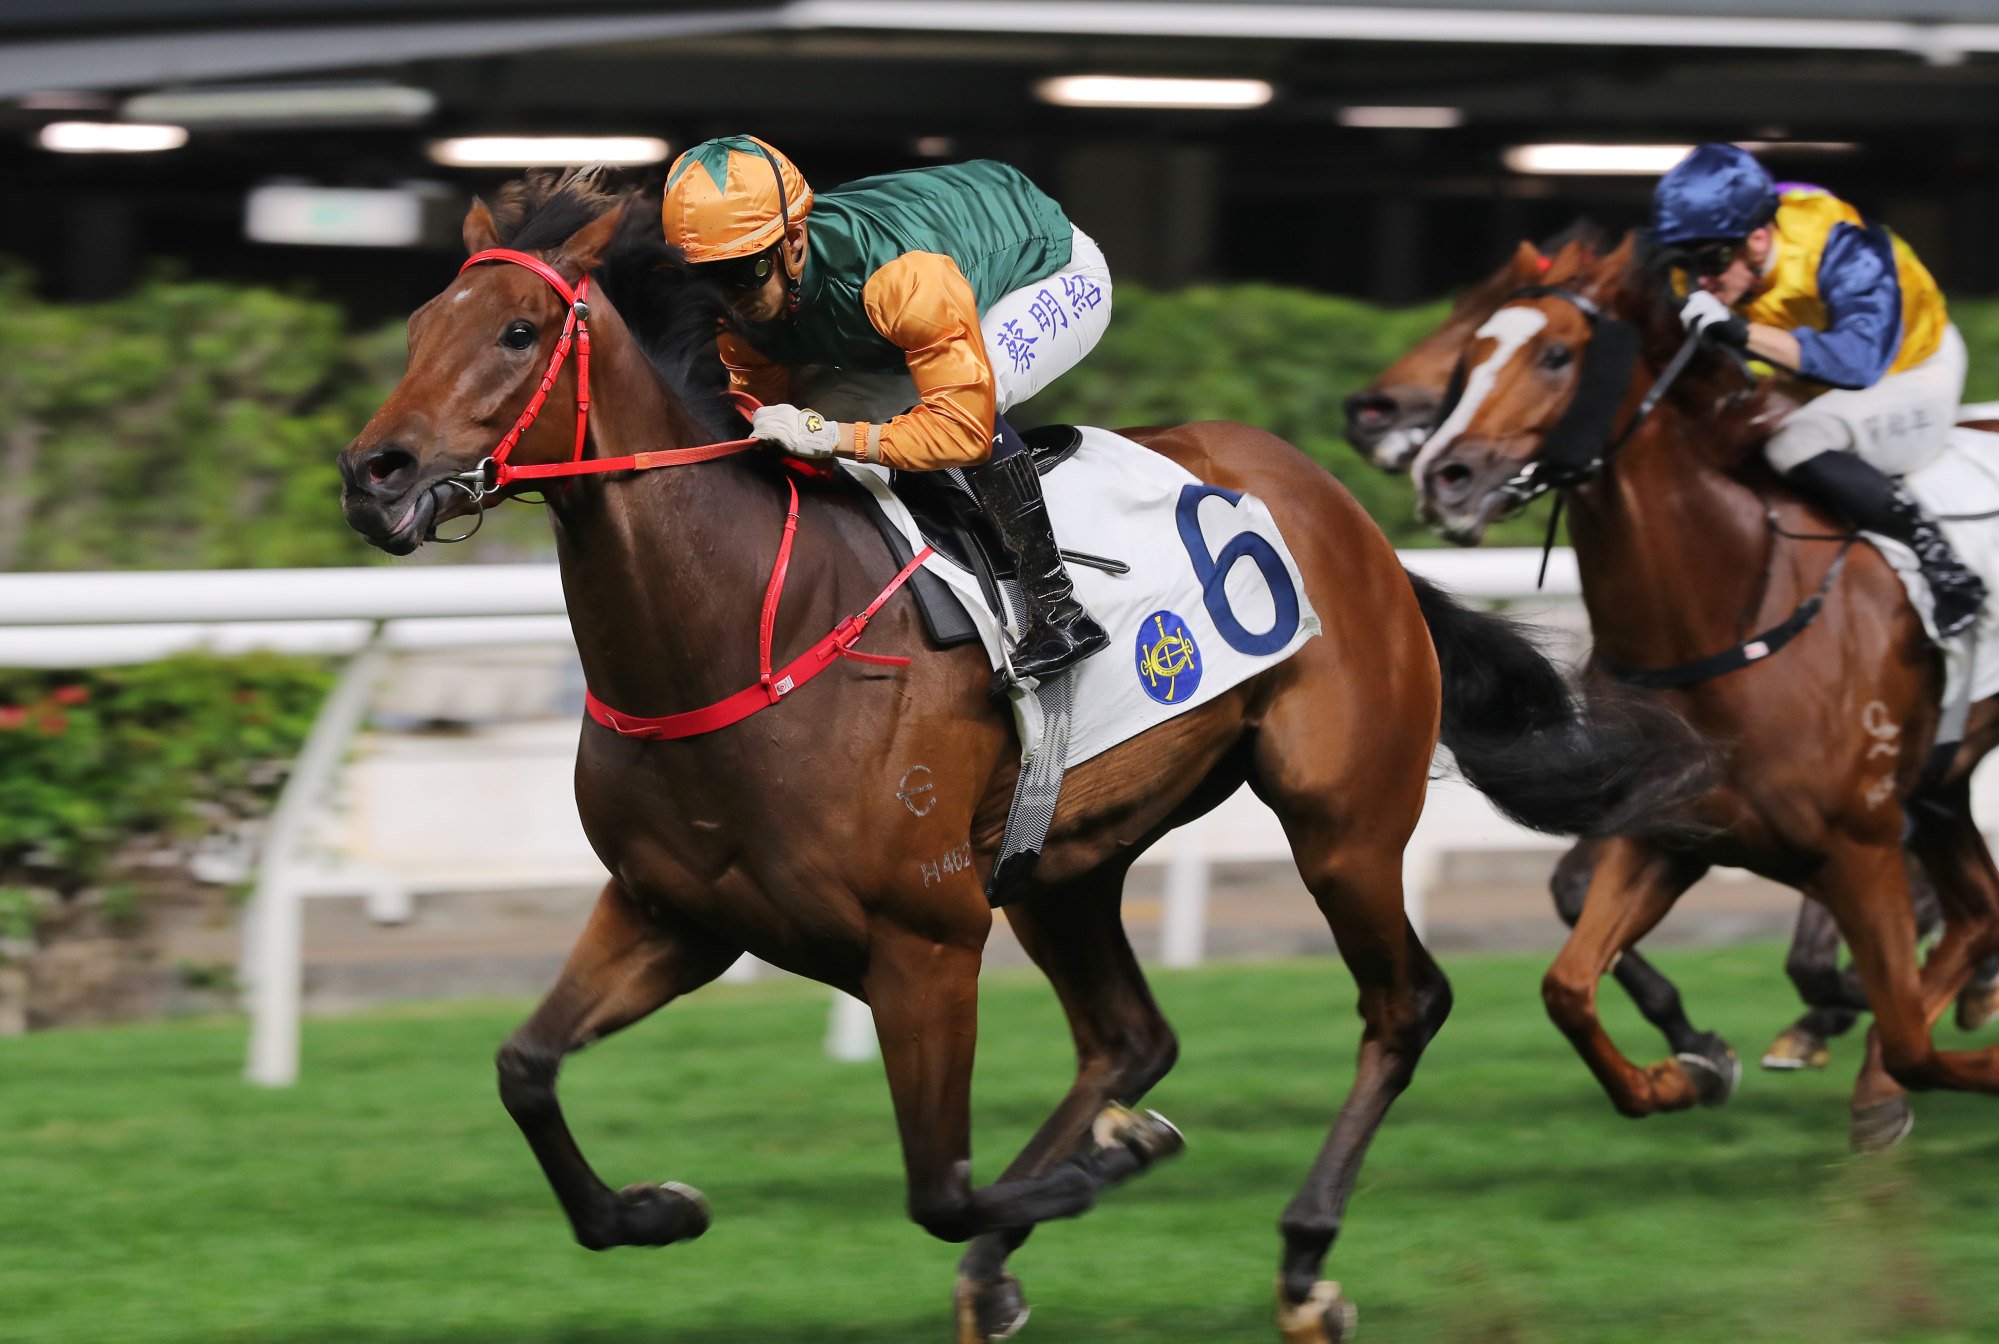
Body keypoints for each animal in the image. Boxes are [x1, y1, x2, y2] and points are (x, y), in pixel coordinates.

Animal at [339, 178, 1703, 1344]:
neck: (738, 632)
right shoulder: (672, 913)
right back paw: (1024, 1255)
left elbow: (939, 1185)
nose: (373, 473)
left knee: (1400, 1003)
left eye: (519, 332)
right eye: (418, 324)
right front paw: (651, 1208)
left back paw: (1304, 1258)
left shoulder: (923, 943)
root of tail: (1346, 517)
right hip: (1061, 858)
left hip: (1339, 814)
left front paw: (1123, 1158)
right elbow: (524, 1070)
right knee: (1130, 1037)